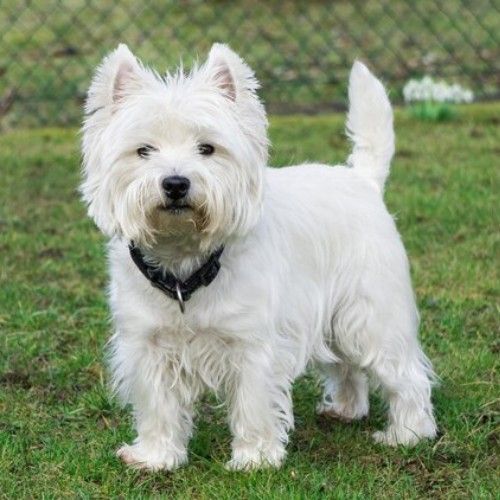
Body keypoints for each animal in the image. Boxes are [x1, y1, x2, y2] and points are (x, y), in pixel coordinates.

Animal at [80, 42, 436, 468]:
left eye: (207, 148)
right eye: (143, 150)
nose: (176, 183)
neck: (185, 267)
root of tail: (362, 180)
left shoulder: (252, 344)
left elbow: (252, 401)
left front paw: (255, 458)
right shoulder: (147, 343)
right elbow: (158, 404)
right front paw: (156, 456)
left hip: (370, 316)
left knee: (405, 373)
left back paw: (407, 433)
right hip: (332, 321)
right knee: (347, 365)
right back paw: (346, 409)